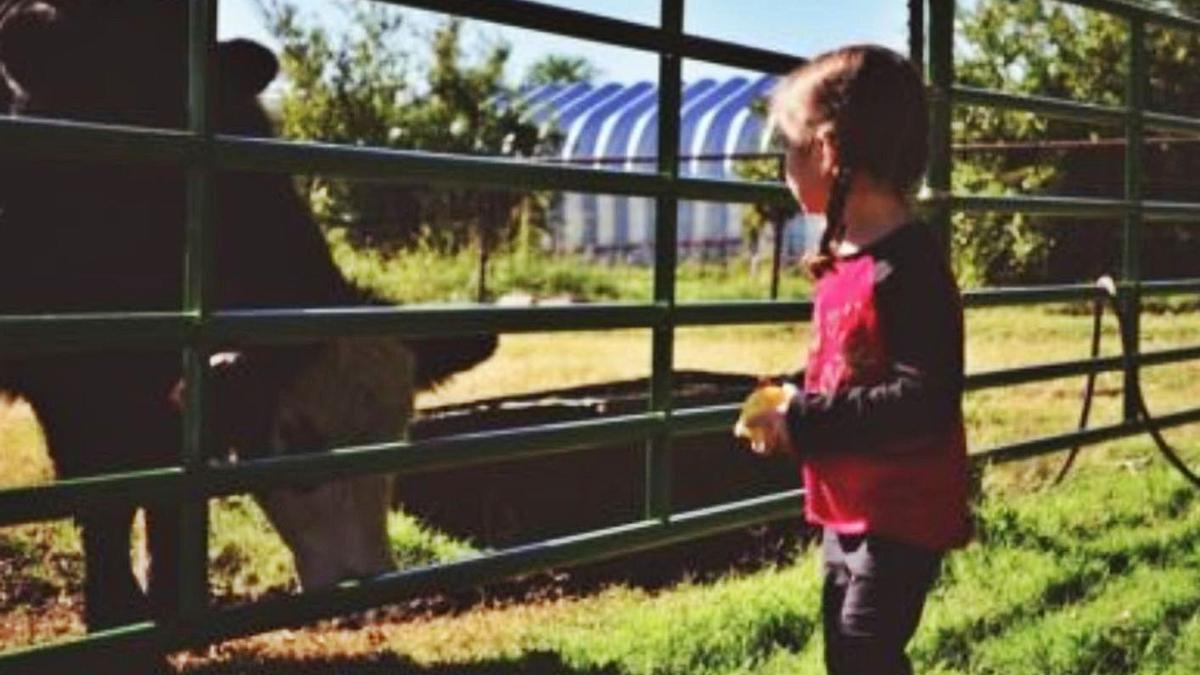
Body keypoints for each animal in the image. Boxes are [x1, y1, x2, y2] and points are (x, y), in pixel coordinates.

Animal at [0, 0, 496, 629]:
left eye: (397, 435)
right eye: (298, 440)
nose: (362, 579)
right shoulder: (76, 381)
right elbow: (105, 497)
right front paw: (116, 609)